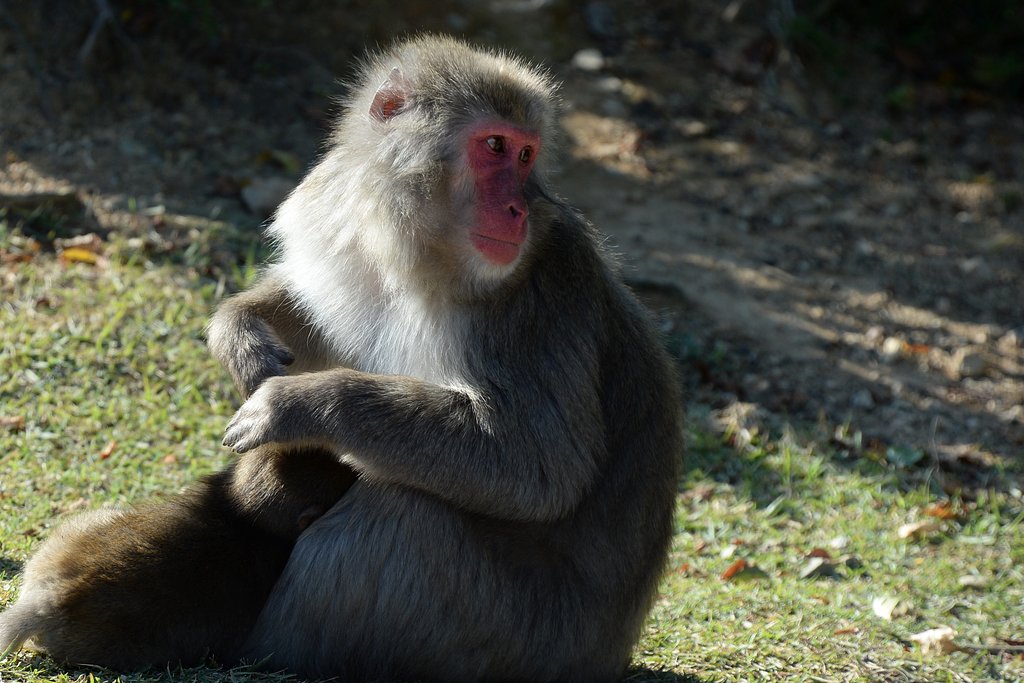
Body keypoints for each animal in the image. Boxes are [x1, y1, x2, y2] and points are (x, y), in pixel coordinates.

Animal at [201, 35, 684, 683]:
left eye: (527, 155)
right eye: (495, 146)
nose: (519, 210)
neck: (415, 242)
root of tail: (612, 655)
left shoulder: (534, 299)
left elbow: (538, 464)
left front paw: (297, 404)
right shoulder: (335, 209)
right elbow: (312, 316)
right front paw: (241, 334)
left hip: (527, 638)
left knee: (403, 517)